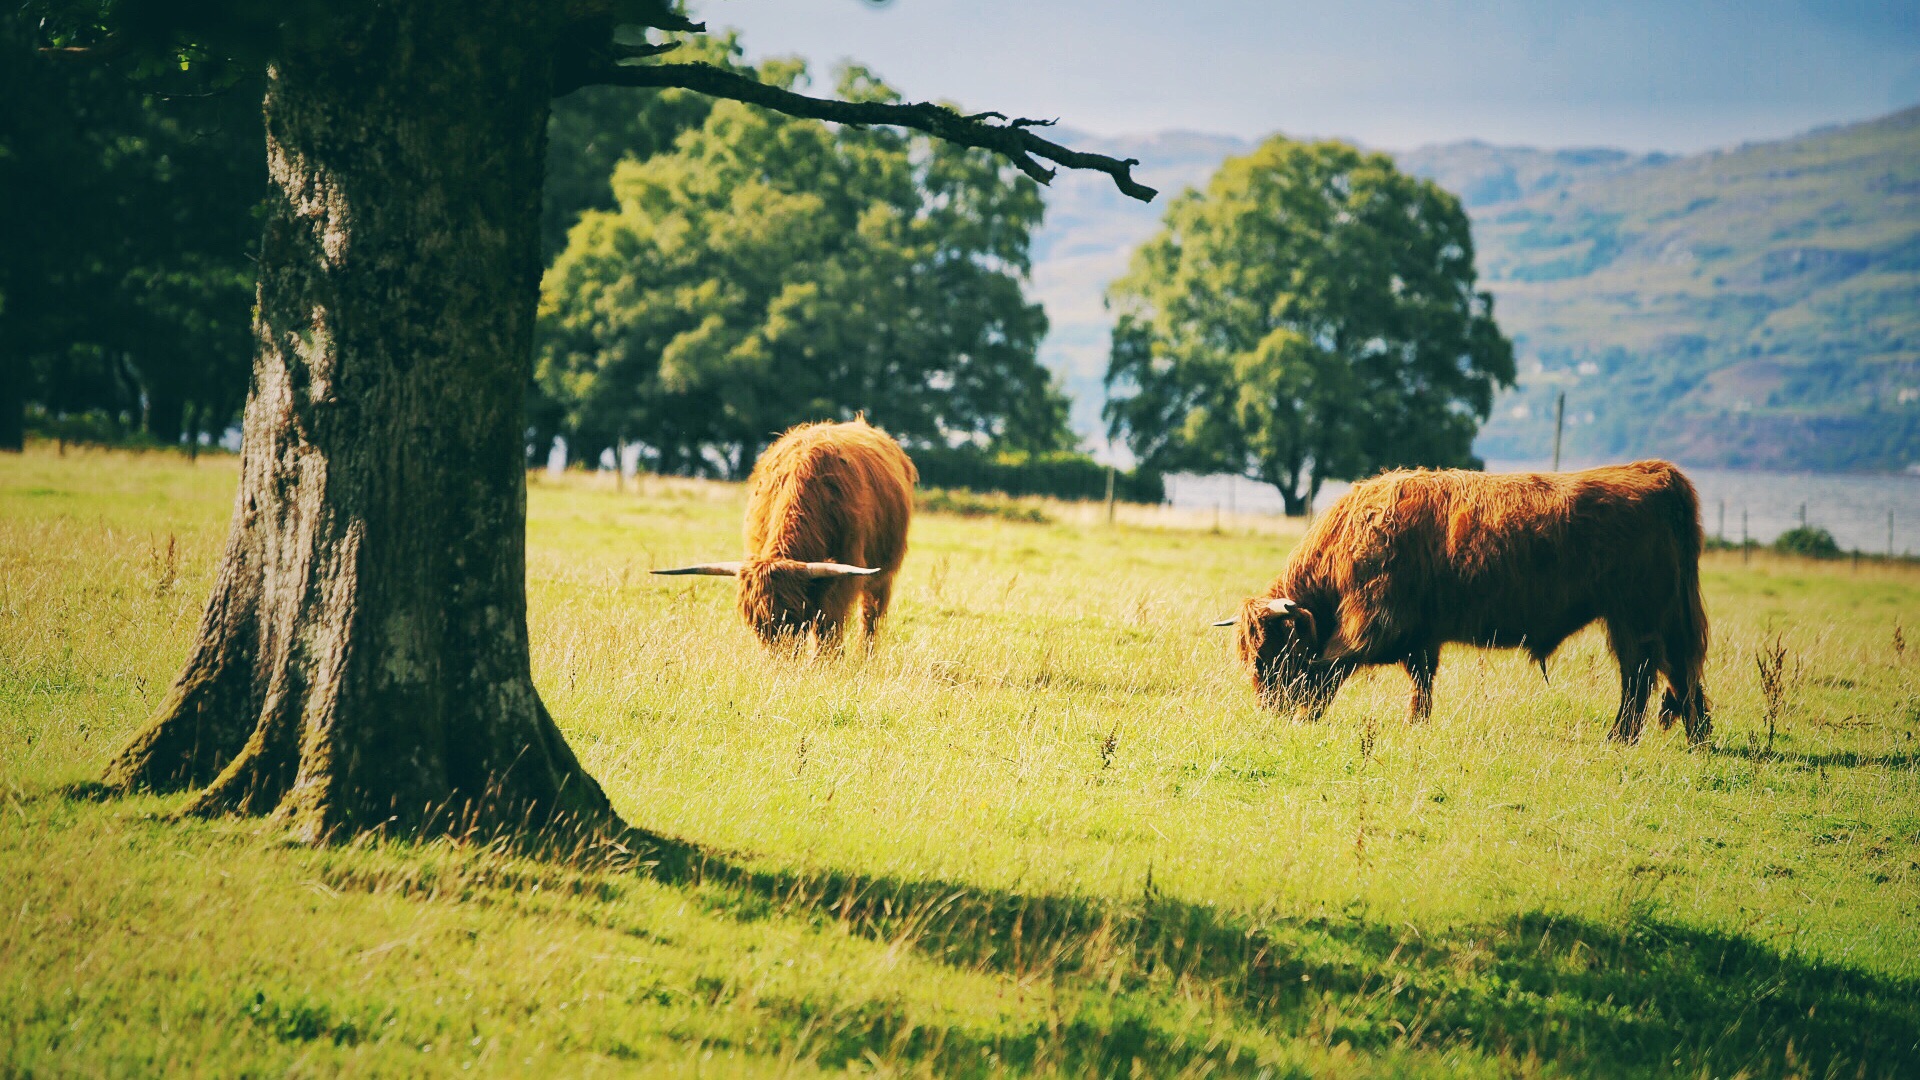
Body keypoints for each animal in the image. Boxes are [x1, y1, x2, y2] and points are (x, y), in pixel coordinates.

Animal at [656, 417, 917, 641]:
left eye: (793, 619)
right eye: (757, 625)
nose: (781, 662)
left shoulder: (842, 577)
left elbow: (827, 629)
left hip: (883, 577)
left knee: (870, 619)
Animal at [1213, 457, 1712, 745]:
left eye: (1273, 654)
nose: (1267, 708)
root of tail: (1655, 471)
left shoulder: (1375, 621)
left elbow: (1330, 665)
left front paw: (1307, 714)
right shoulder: (1422, 636)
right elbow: (1422, 680)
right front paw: (1417, 723)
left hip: (1639, 614)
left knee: (1644, 673)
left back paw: (1627, 736)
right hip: (1654, 614)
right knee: (1674, 669)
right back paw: (1694, 734)